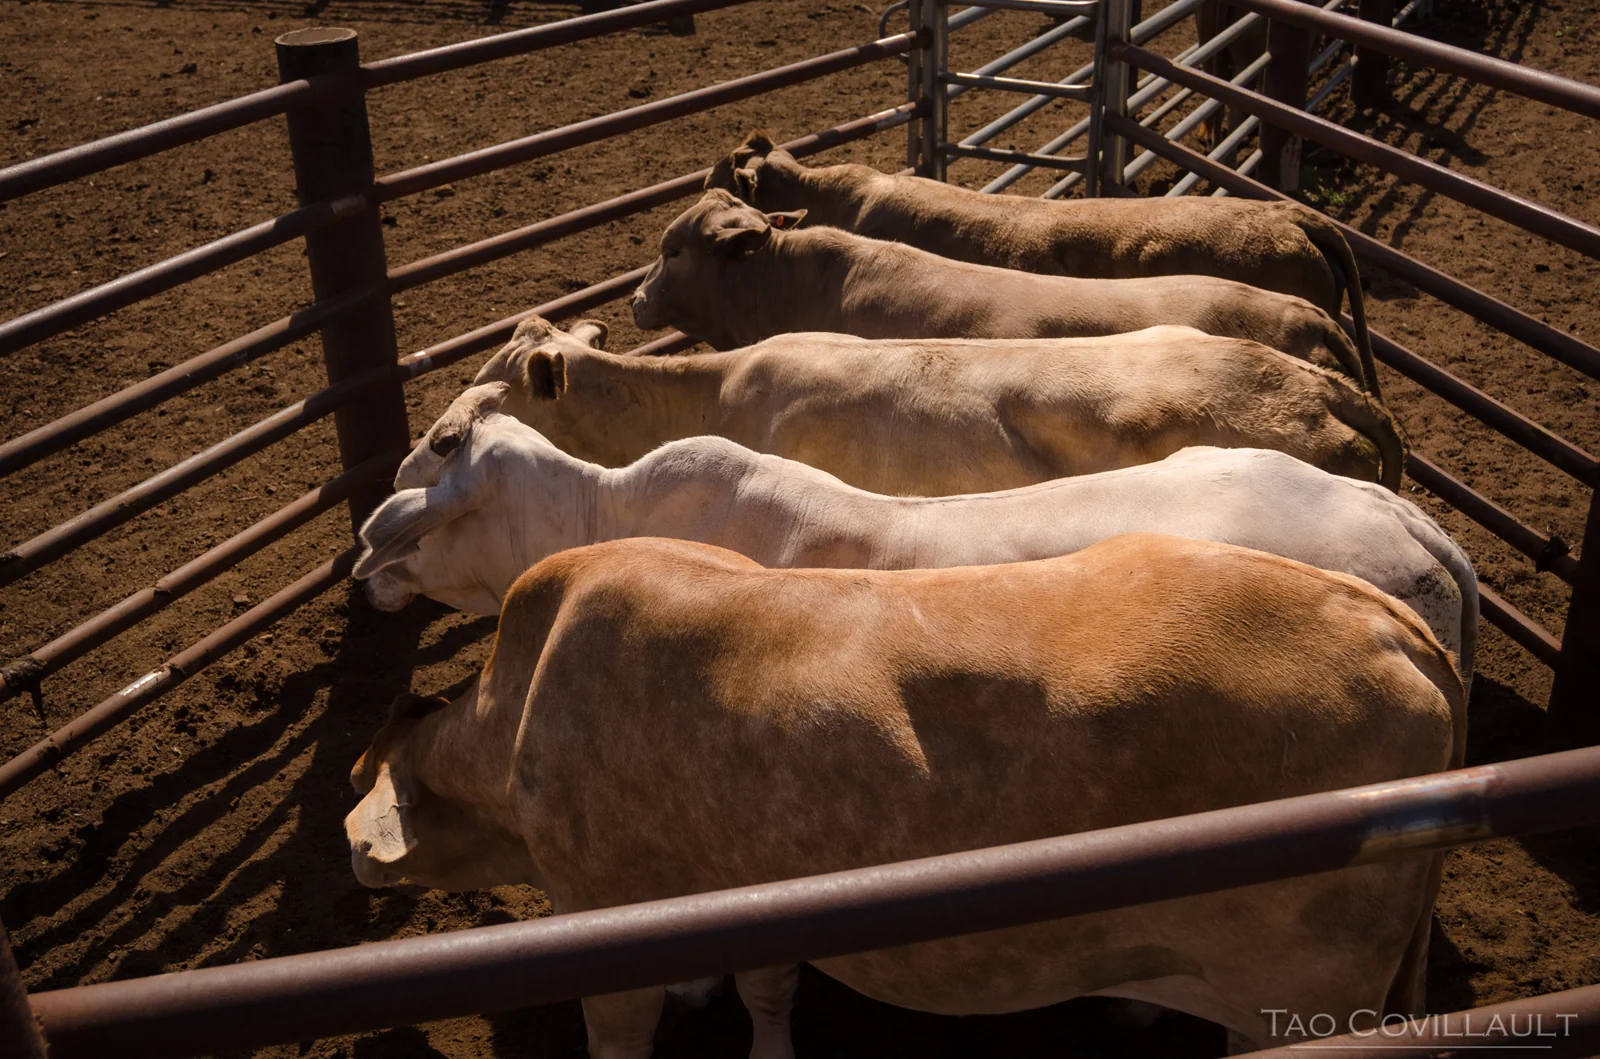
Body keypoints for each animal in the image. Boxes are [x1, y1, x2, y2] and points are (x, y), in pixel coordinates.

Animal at [347, 533, 1465, 1058]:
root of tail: (1391, 625)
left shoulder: (600, 907)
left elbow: (618, 1035)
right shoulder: (755, 889)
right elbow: (769, 990)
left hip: (1299, 997)